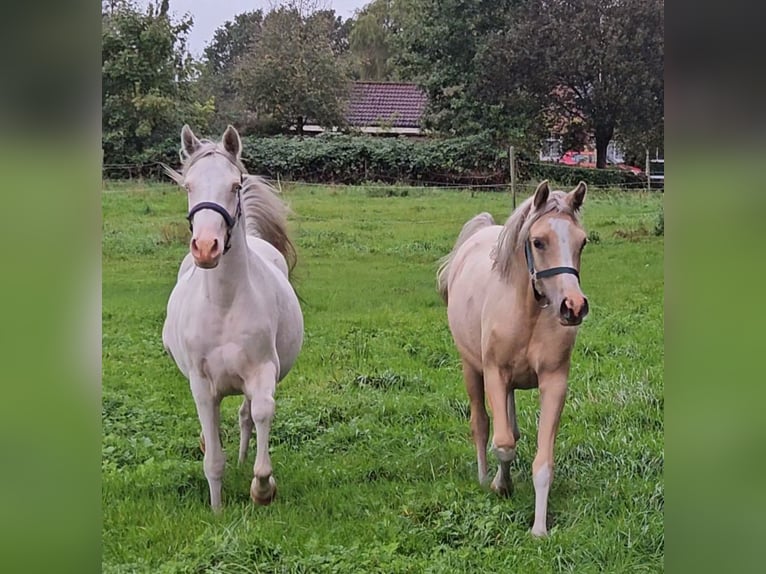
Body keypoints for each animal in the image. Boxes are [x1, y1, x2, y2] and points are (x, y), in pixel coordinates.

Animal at [162, 126, 304, 512]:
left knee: (245, 416)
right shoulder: (202, 384)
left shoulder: (262, 371)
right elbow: (212, 456)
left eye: (235, 185)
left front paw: (262, 489)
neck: (224, 305)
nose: (206, 247)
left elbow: (261, 413)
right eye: (188, 186)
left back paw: (243, 461)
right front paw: (216, 509)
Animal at [436, 182, 592, 536]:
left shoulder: (554, 381)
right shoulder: (494, 373)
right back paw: (484, 477)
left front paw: (539, 528)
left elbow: (542, 460)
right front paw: (500, 486)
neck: (528, 311)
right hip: (472, 369)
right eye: (538, 241)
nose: (573, 307)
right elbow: (503, 443)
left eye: (582, 241)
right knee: (481, 423)